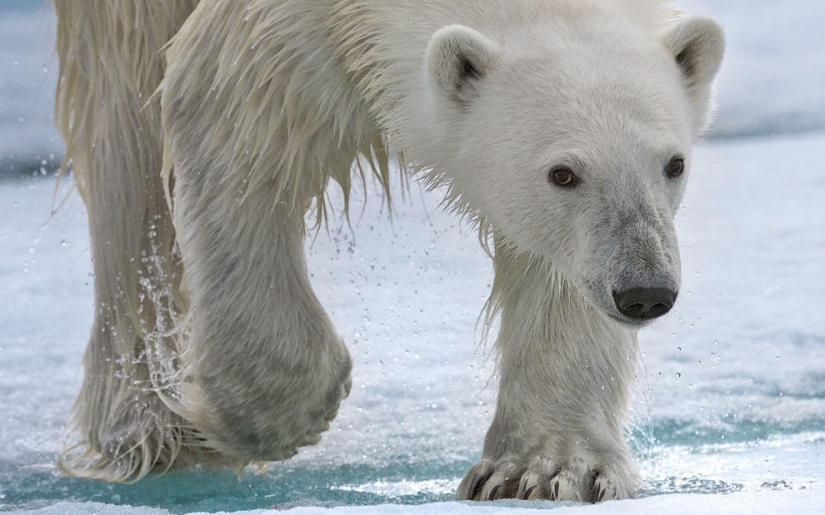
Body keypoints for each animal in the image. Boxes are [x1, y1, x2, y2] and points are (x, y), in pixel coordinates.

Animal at [53, 0, 724, 502]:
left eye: (673, 163)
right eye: (563, 173)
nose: (644, 291)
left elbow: (554, 271)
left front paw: (544, 468)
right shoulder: (277, 28)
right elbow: (226, 120)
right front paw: (276, 415)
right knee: (125, 135)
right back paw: (151, 428)